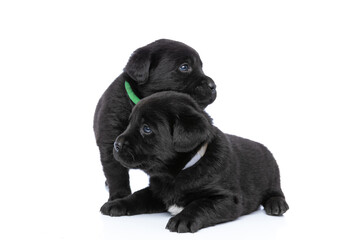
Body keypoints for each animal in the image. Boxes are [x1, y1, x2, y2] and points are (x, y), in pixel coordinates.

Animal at [93, 39, 217, 204]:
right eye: (184, 67)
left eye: (201, 67)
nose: (213, 86)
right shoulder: (110, 140)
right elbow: (116, 173)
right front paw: (119, 196)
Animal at [101, 91, 290, 232]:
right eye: (129, 123)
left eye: (146, 129)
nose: (116, 145)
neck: (175, 175)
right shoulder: (156, 191)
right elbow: (137, 196)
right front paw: (117, 203)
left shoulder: (228, 198)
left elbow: (200, 204)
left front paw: (183, 218)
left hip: (273, 176)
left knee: (276, 192)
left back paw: (276, 204)